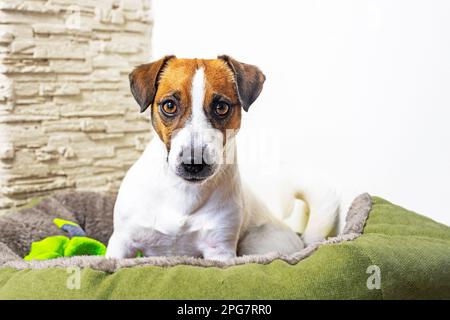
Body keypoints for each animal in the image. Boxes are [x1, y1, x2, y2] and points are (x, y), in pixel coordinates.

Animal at [105, 55, 338, 260]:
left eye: (222, 107)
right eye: (169, 105)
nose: (193, 162)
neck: (183, 192)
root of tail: (303, 241)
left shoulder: (220, 250)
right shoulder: (122, 242)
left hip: (257, 243)